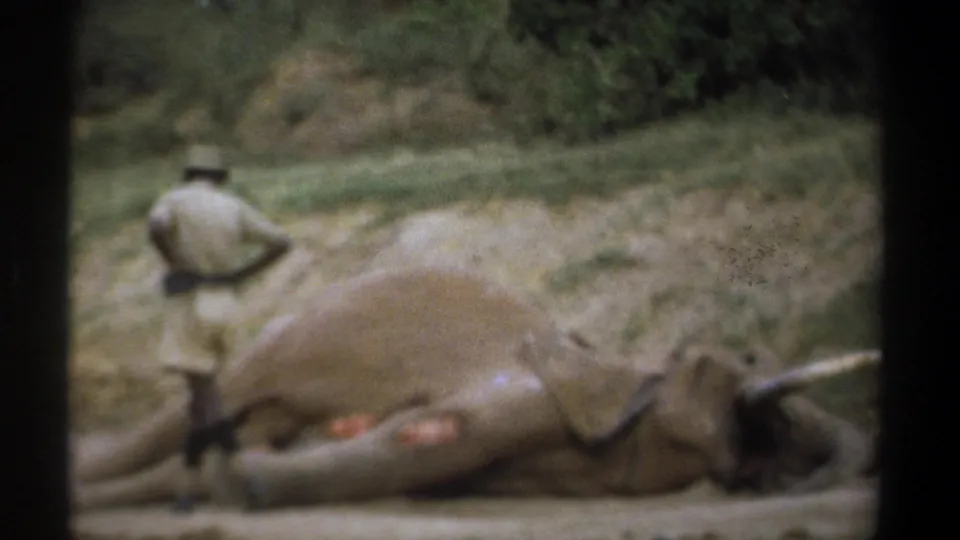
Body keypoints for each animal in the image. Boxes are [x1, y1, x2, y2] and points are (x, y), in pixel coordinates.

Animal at [72, 266, 878, 511]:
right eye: (733, 363)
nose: (784, 461)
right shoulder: (531, 388)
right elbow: (423, 436)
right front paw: (241, 485)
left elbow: (419, 448)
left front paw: (236, 480)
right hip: (298, 333)